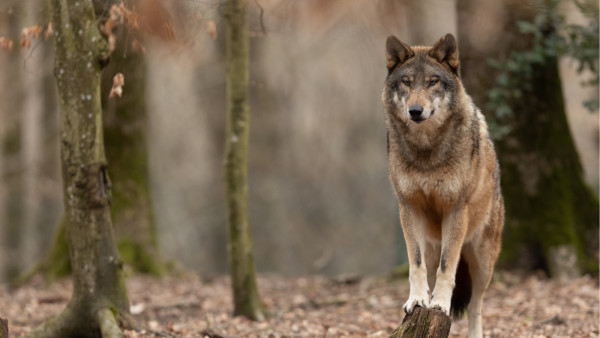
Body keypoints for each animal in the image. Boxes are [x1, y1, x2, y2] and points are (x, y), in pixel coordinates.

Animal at [382, 32, 504, 338]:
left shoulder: (455, 210)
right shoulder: (408, 207)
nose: (415, 111)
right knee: (429, 268)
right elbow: (415, 264)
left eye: (432, 82)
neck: (427, 151)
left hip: (482, 260)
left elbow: (448, 267)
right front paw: (417, 300)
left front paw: (439, 305)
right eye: (407, 83)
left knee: (476, 306)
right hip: (432, 244)